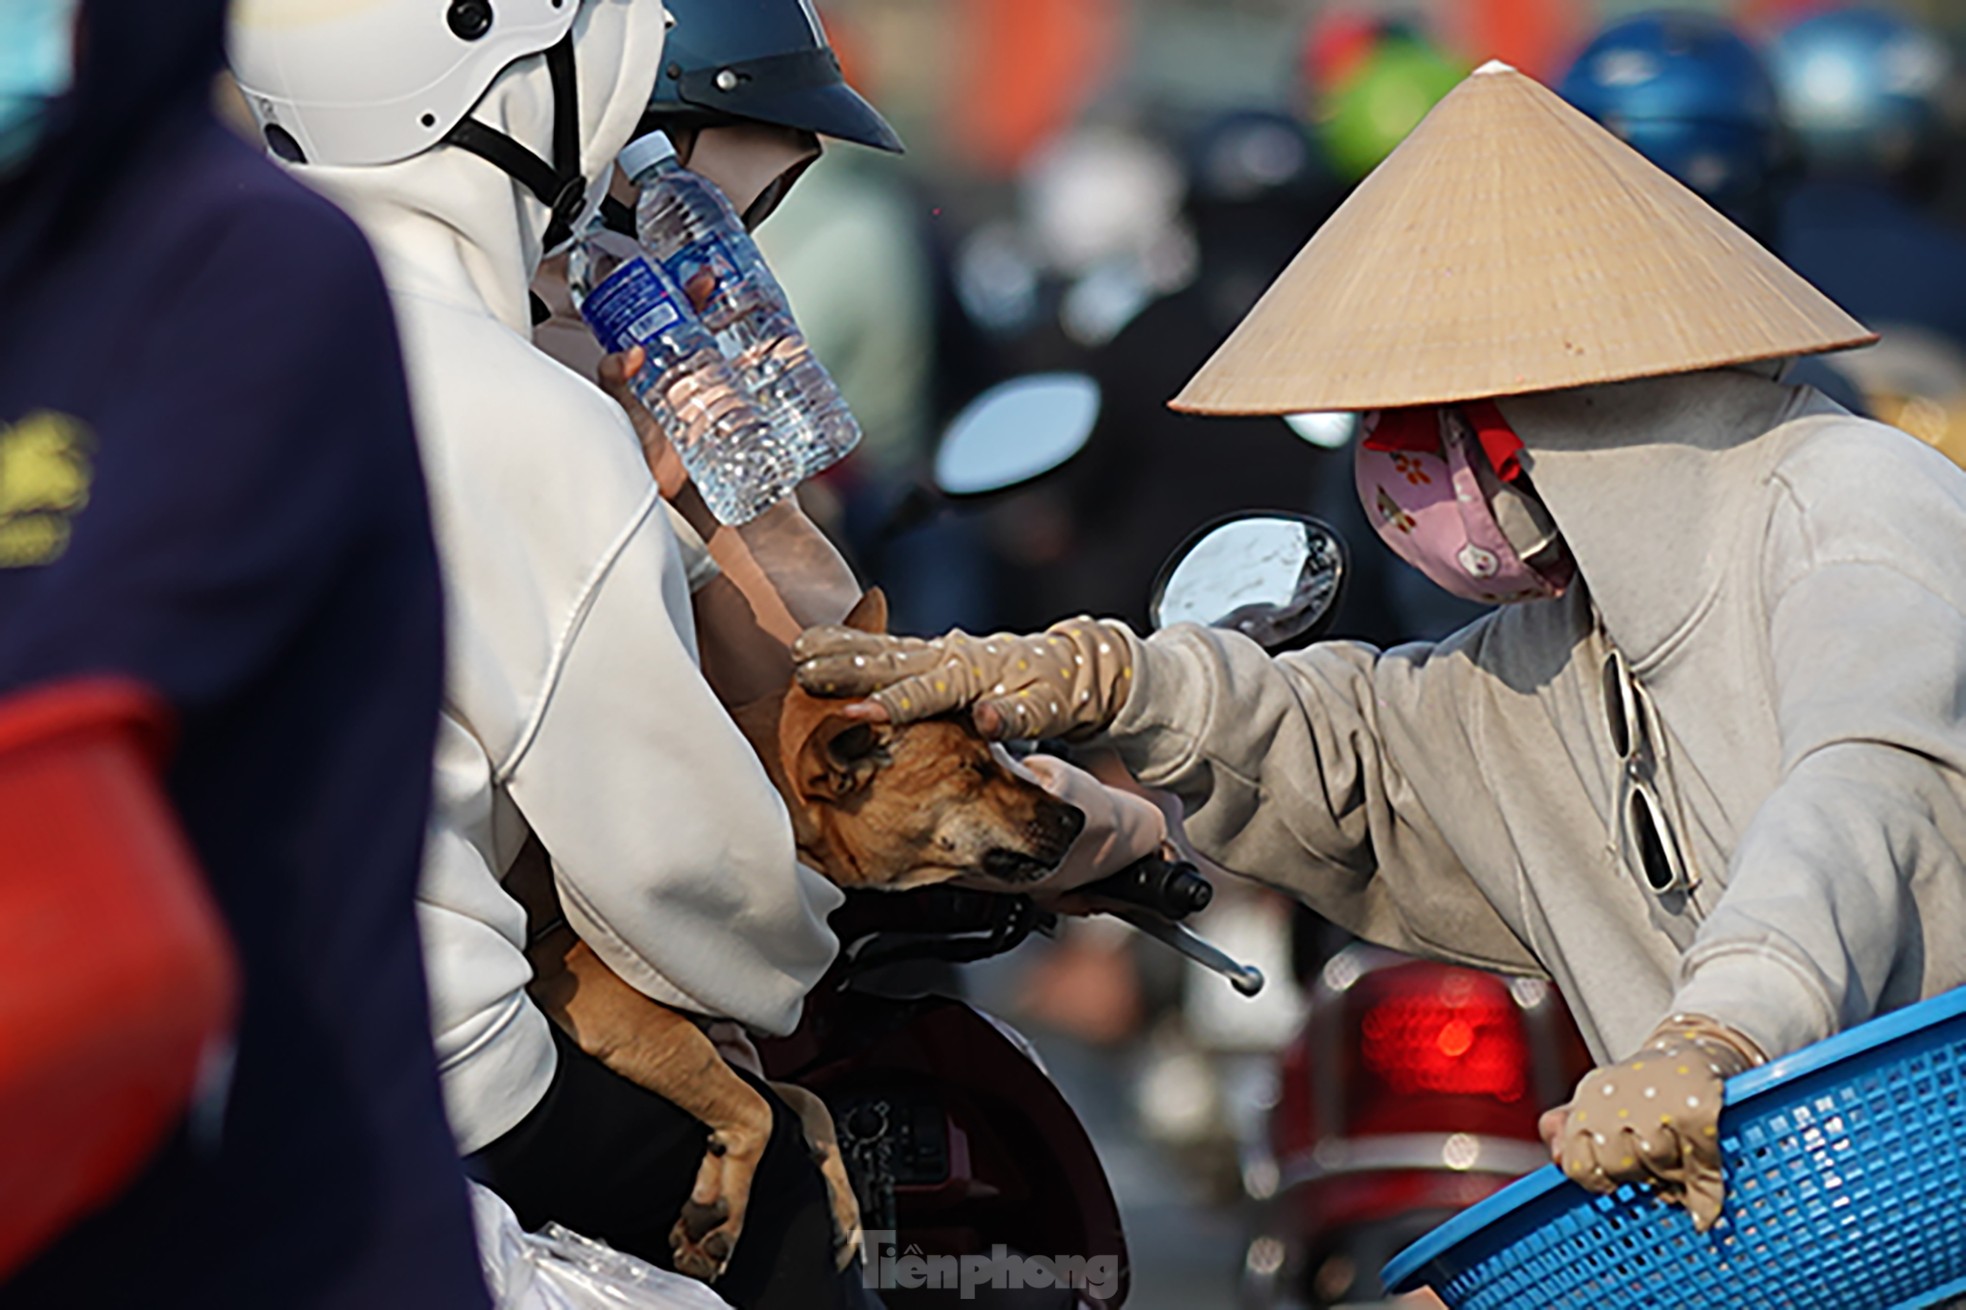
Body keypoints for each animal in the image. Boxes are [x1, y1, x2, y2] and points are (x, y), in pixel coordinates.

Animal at [522, 590, 1085, 1274]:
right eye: (972, 771)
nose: (1078, 817)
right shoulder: (606, 1009)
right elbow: (759, 1106)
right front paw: (720, 1212)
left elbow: (798, 1097)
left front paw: (842, 1201)